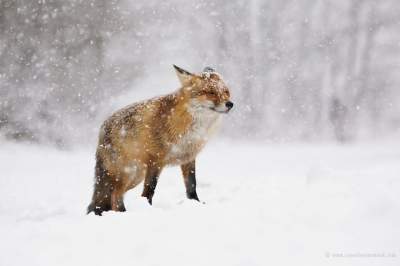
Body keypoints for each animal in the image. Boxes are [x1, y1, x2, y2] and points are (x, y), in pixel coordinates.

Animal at [86, 65, 233, 215]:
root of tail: (102, 129)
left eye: (226, 92)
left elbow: (192, 185)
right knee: (115, 195)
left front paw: (196, 203)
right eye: (210, 92)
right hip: (128, 173)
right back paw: (123, 213)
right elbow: (149, 190)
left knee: (114, 196)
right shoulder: (155, 160)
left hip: (136, 176)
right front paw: (147, 208)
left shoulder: (188, 158)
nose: (230, 104)